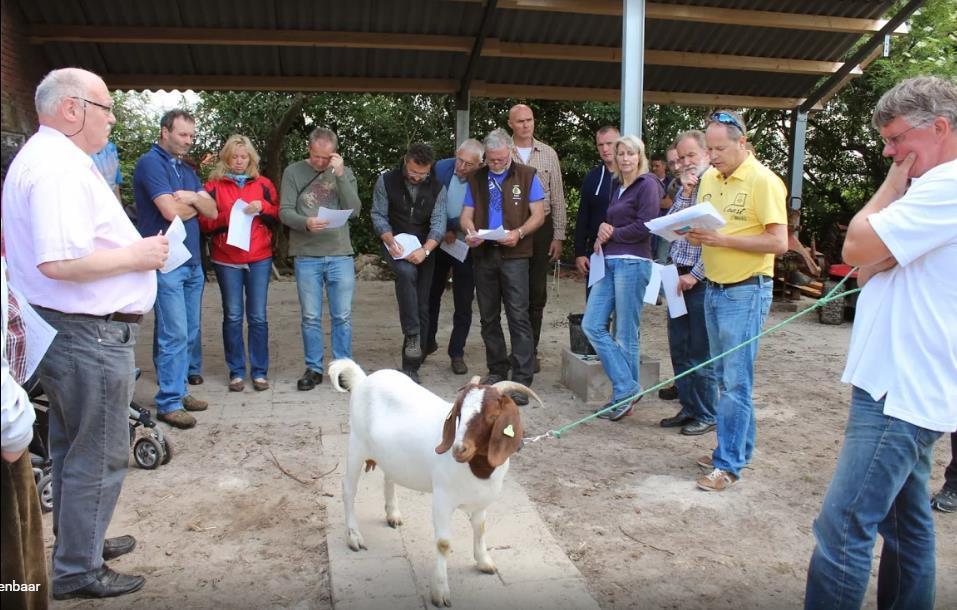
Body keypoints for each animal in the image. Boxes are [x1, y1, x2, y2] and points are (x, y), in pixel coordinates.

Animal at [328, 356, 540, 604]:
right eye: (459, 414)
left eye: (491, 416)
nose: (458, 449)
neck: (478, 469)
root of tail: (363, 380)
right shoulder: (442, 499)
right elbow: (443, 543)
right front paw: (439, 592)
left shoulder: (481, 500)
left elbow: (480, 528)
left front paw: (484, 563)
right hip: (356, 444)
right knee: (348, 489)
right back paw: (354, 537)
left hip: (389, 455)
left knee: (389, 477)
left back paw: (393, 514)